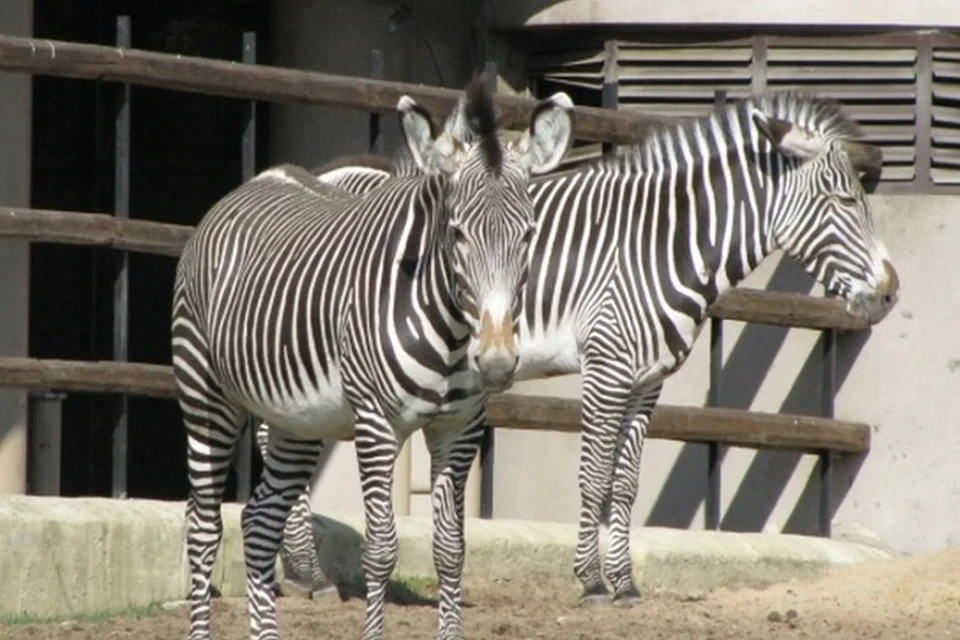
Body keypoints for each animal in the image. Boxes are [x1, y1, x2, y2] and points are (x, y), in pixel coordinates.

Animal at [172, 79, 572, 640]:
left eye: (530, 234)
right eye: (457, 233)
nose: (495, 362)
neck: (451, 330)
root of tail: (255, 182)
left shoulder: (459, 427)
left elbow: (451, 551)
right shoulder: (377, 423)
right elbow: (381, 551)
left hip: (298, 420)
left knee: (258, 522)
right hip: (205, 393)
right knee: (204, 526)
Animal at [266, 87, 896, 608]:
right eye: (844, 200)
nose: (890, 292)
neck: (661, 244)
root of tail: (325, 175)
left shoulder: (646, 381)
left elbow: (626, 483)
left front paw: (625, 584)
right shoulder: (608, 366)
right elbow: (594, 475)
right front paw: (592, 582)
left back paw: (300, 572)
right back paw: (306, 572)